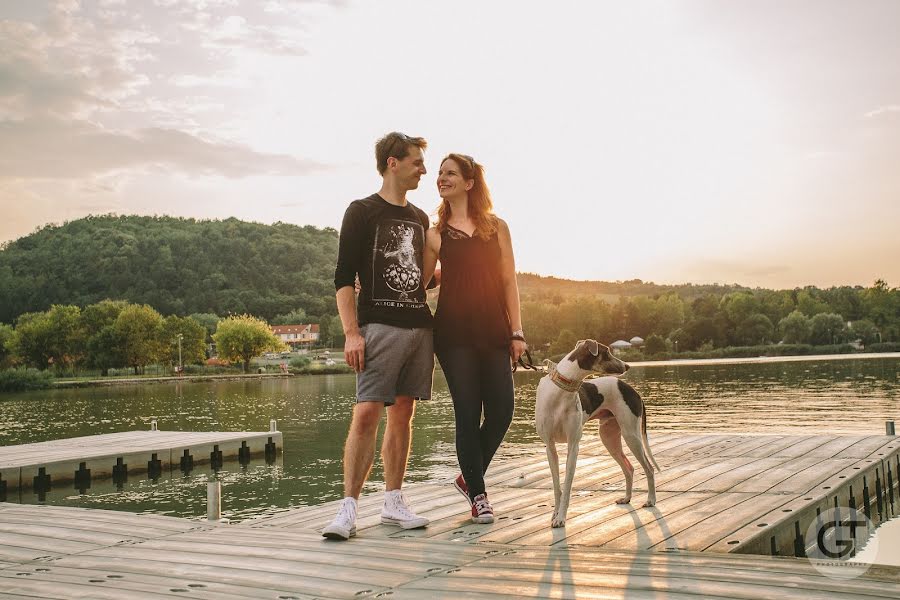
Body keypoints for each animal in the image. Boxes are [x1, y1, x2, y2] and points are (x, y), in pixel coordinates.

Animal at [536, 340, 660, 528]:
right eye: (607, 352)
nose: (627, 366)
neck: (561, 391)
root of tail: (633, 390)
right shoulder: (550, 447)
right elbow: (557, 486)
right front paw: (555, 514)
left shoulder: (573, 446)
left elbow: (567, 486)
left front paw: (561, 518)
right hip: (609, 438)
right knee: (629, 468)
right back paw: (627, 498)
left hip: (631, 435)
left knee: (649, 468)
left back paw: (651, 500)